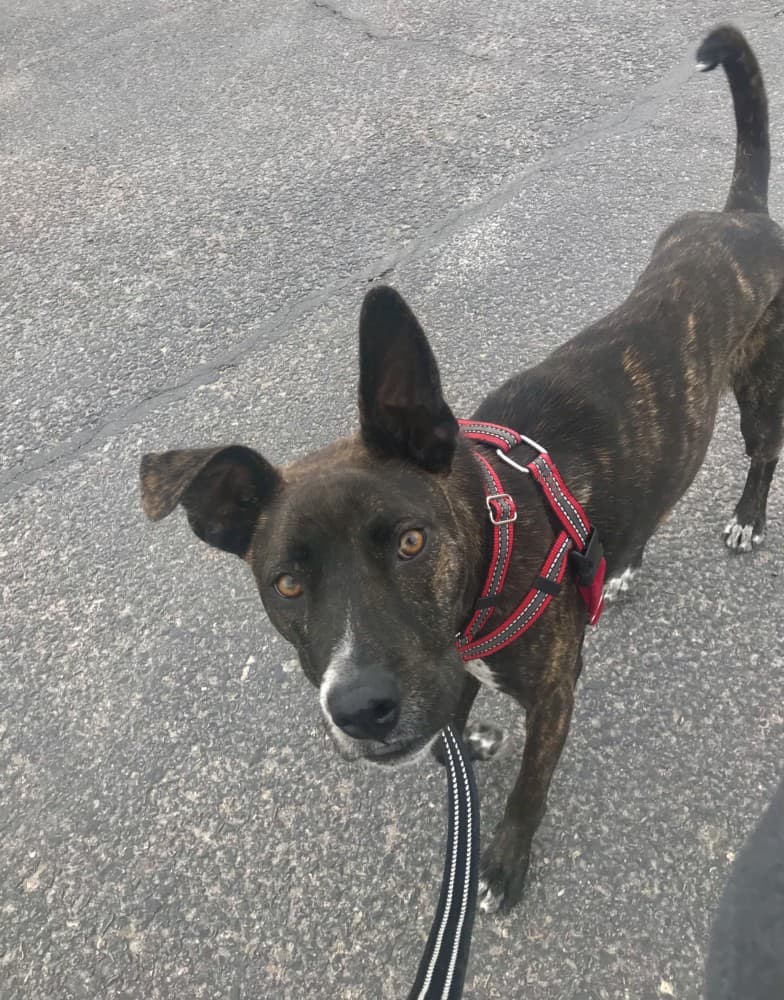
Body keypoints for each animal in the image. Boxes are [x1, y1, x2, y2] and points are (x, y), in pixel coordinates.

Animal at [139, 25, 784, 916]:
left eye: (411, 543)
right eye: (286, 583)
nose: (361, 709)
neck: (499, 535)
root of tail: (739, 215)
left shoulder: (555, 692)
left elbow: (530, 787)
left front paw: (504, 861)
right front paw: (467, 735)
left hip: (758, 384)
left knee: (765, 450)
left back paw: (748, 518)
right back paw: (620, 566)